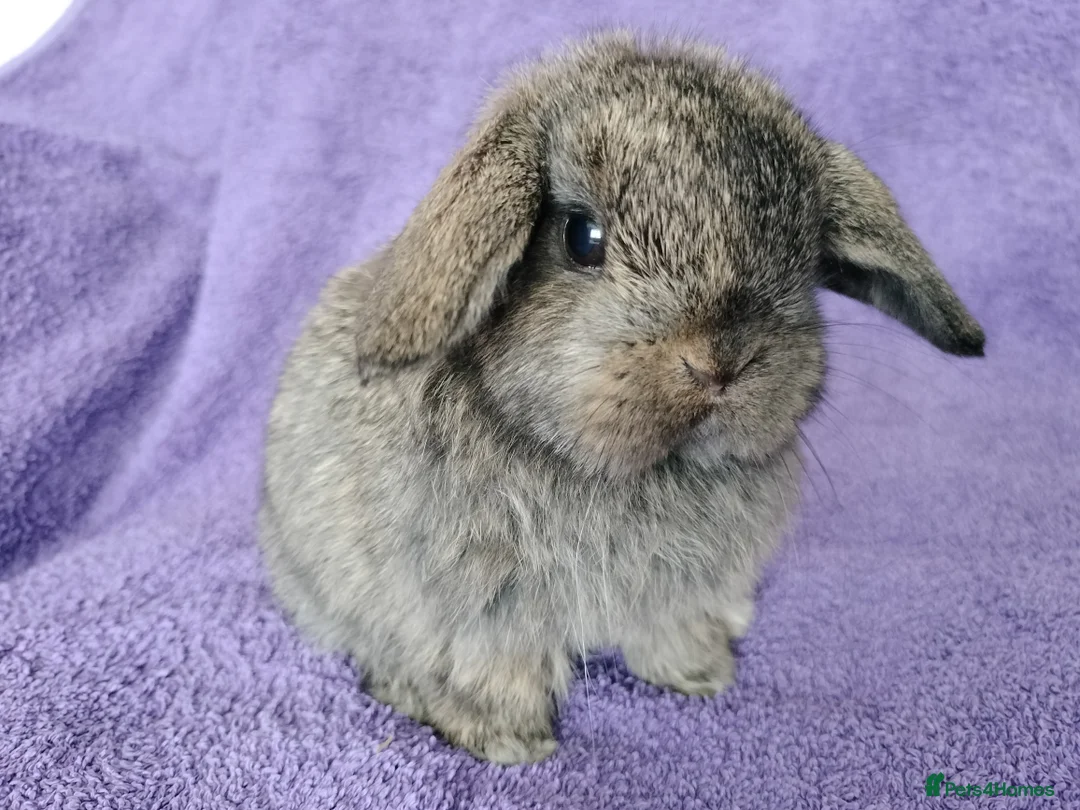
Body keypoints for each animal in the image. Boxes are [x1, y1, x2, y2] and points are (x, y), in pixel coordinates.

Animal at [258, 31, 985, 764]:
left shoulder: (679, 591)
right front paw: (511, 742)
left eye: (801, 256)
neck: (624, 471)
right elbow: (492, 668)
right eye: (582, 236)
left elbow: (670, 630)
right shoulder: (481, 610)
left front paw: (702, 674)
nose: (719, 362)